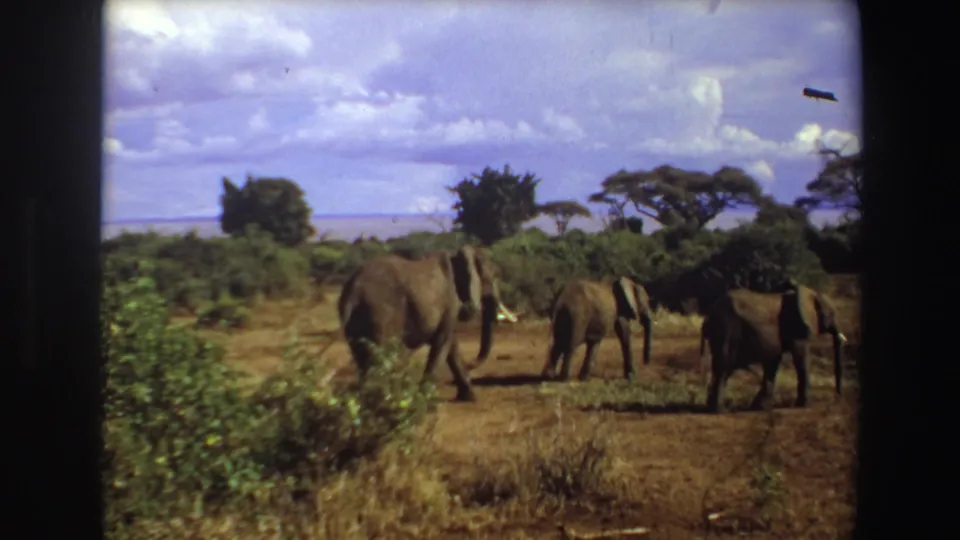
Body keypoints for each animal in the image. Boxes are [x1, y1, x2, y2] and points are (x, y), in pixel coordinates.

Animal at [337, 245, 516, 402]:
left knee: (363, 359)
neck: (457, 255)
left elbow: (452, 347)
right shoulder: (450, 300)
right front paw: (424, 398)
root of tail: (353, 293)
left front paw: (470, 398)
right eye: (494, 276)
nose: (471, 363)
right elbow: (443, 343)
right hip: (381, 314)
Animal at [699, 283, 848, 413]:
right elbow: (800, 358)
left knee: (724, 368)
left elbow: (773, 363)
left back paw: (713, 407)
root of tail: (709, 315)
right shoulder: (798, 328)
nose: (838, 397)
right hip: (727, 328)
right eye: (831, 314)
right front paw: (804, 405)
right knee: (724, 366)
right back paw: (720, 411)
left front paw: (760, 408)